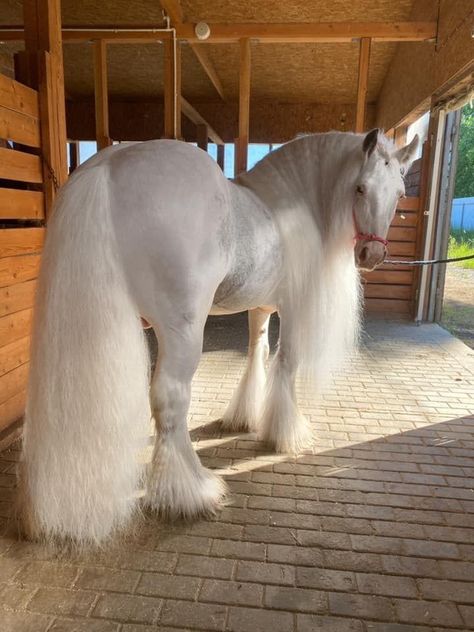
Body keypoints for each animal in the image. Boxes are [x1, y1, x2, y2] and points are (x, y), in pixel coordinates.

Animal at [18, 128, 418, 544]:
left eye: (399, 192)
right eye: (360, 187)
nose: (372, 254)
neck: (293, 201)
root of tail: (110, 166)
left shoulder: (260, 307)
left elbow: (257, 352)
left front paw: (245, 416)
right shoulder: (291, 307)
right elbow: (286, 363)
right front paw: (285, 433)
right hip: (181, 330)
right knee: (169, 400)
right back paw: (191, 492)